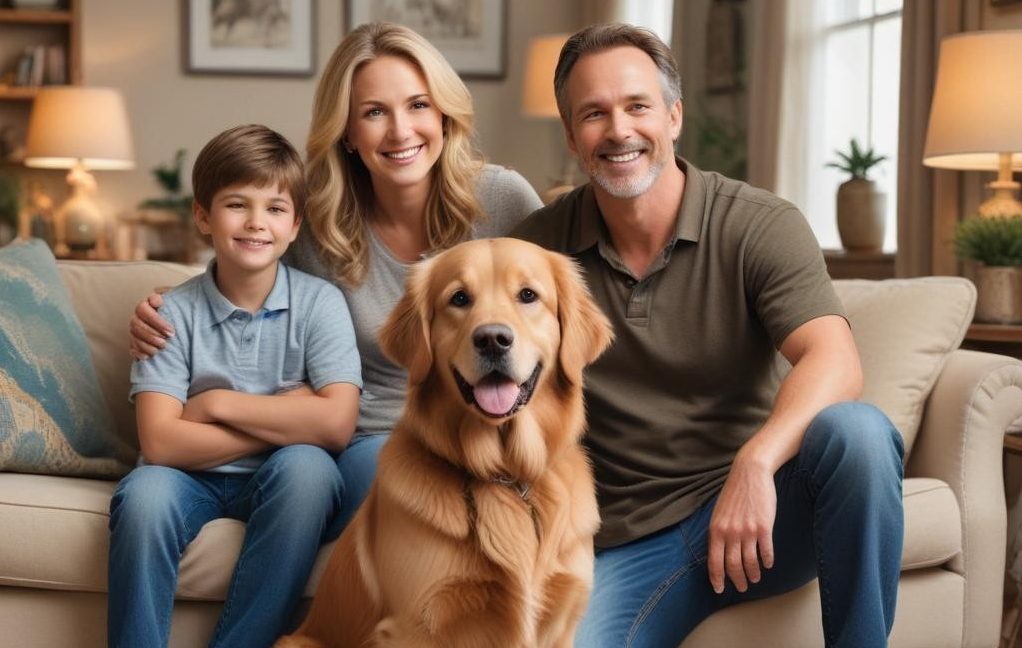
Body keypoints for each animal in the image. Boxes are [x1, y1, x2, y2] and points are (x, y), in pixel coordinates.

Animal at [275, 238, 613, 645]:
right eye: (459, 298)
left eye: (528, 295)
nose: (493, 339)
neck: (504, 475)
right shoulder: (414, 624)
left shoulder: (561, 622)